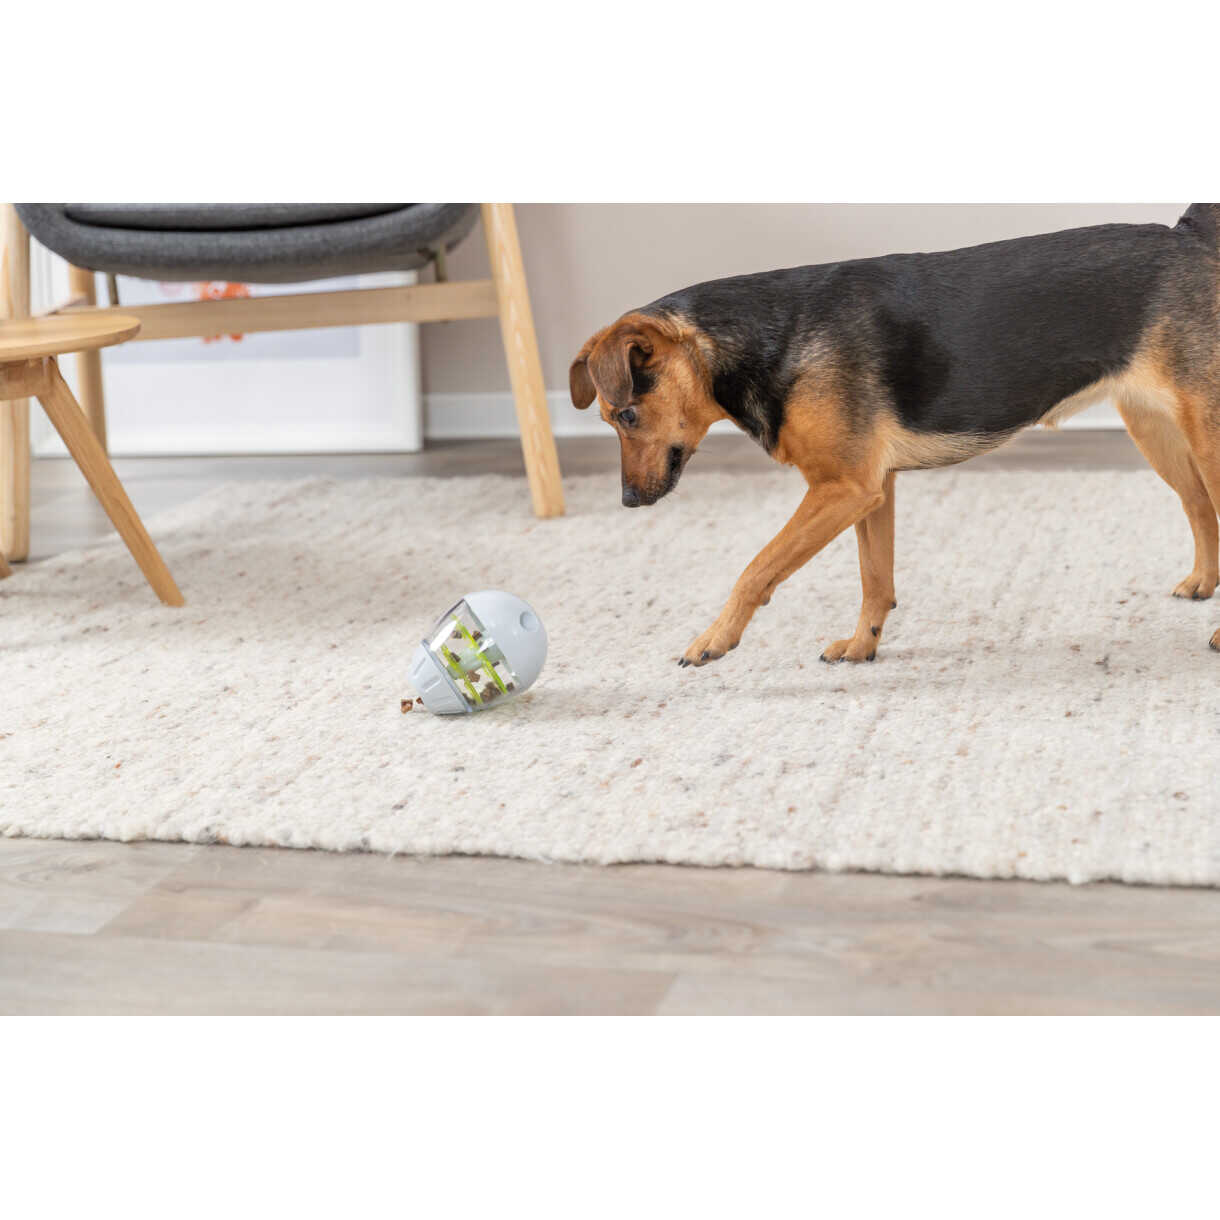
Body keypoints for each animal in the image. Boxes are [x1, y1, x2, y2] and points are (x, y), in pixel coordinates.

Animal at [570, 204, 1220, 667]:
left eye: (626, 416)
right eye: (609, 421)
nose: (628, 501)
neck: (769, 338)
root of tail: (1188, 234)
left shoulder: (841, 489)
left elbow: (756, 569)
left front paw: (713, 639)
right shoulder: (871, 491)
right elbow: (874, 580)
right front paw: (863, 646)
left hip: (1204, 433)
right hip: (1157, 430)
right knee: (1200, 506)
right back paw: (1204, 584)